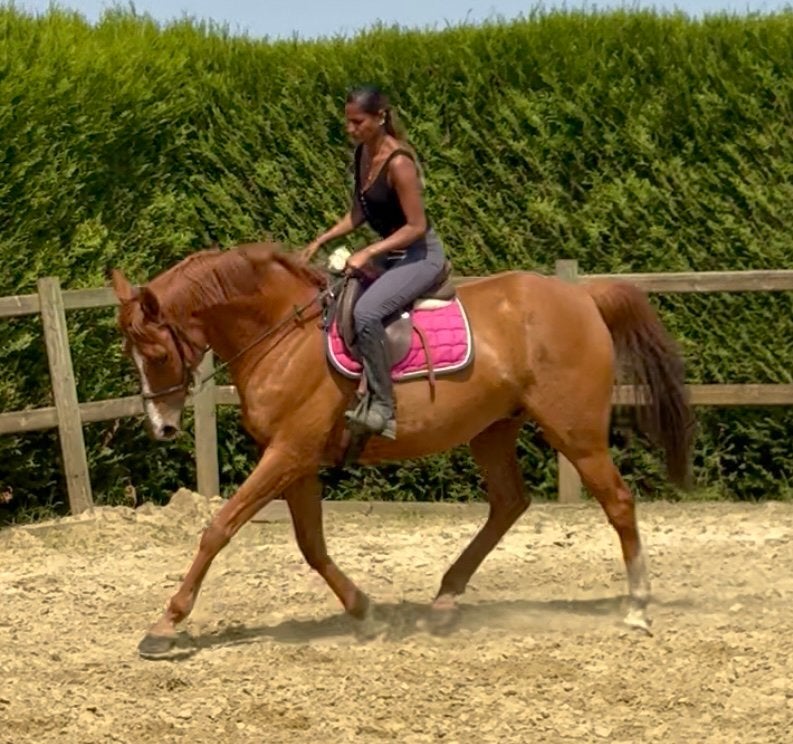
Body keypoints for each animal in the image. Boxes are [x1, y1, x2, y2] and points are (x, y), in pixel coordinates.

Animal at [110, 241, 693, 659]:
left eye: (156, 353)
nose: (161, 428)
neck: (283, 334)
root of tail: (583, 297)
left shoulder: (288, 454)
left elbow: (219, 528)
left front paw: (164, 625)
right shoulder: (296, 461)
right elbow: (311, 546)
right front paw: (365, 613)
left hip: (575, 433)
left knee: (617, 502)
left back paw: (637, 608)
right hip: (492, 429)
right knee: (509, 503)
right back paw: (444, 602)